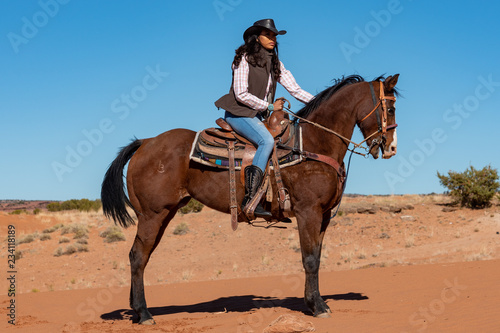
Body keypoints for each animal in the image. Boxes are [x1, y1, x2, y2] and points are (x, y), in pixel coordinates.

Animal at [100, 74, 398, 322]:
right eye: (390, 108)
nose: (391, 147)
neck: (313, 144)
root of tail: (146, 142)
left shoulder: (322, 216)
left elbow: (317, 257)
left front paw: (316, 302)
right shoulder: (308, 212)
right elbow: (310, 259)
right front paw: (318, 307)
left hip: (164, 214)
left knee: (140, 256)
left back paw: (136, 310)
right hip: (153, 215)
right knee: (138, 257)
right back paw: (144, 313)